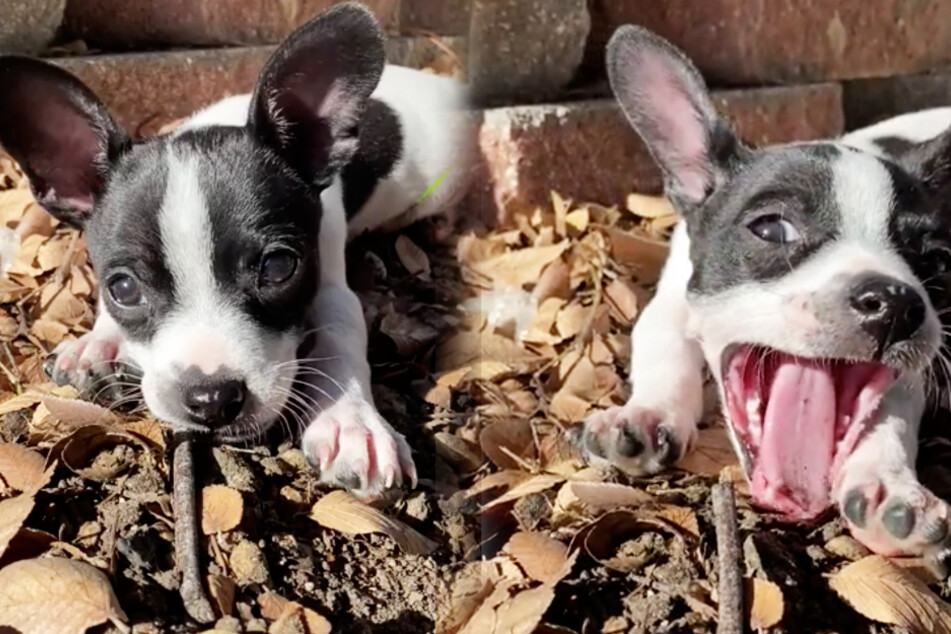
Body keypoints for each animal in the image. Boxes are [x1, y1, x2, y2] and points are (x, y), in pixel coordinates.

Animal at [0, 4, 472, 496]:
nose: (211, 398)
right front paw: (96, 342)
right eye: (123, 288)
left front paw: (351, 421)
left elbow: (341, 333)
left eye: (280, 267)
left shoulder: (329, 286)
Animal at [580, 25, 951, 556]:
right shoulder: (670, 299)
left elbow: (891, 414)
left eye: (937, 260)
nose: (896, 302)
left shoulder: (913, 370)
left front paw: (886, 484)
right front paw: (646, 413)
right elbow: (661, 346)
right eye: (771, 229)